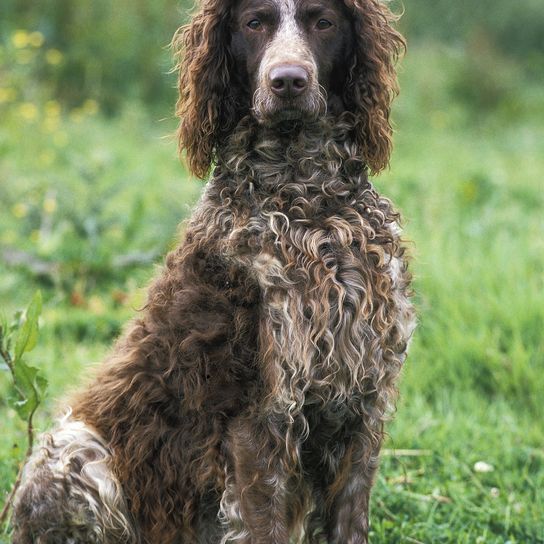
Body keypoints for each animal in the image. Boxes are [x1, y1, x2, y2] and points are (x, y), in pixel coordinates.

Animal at [11, 1, 412, 544]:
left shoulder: (362, 406)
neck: (310, 205)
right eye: (254, 22)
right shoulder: (258, 418)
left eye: (323, 22)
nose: (288, 81)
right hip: (74, 445)